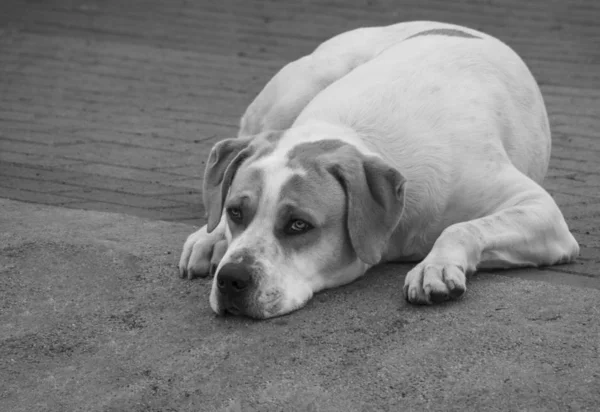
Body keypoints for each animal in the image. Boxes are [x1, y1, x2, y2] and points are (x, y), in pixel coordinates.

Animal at [177, 20, 576, 320]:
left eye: (298, 225)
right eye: (235, 212)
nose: (232, 278)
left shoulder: (540, 211)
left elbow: (463, 227)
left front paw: (436, 267)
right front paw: (216, 235)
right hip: (301, 84)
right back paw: (207, 238)